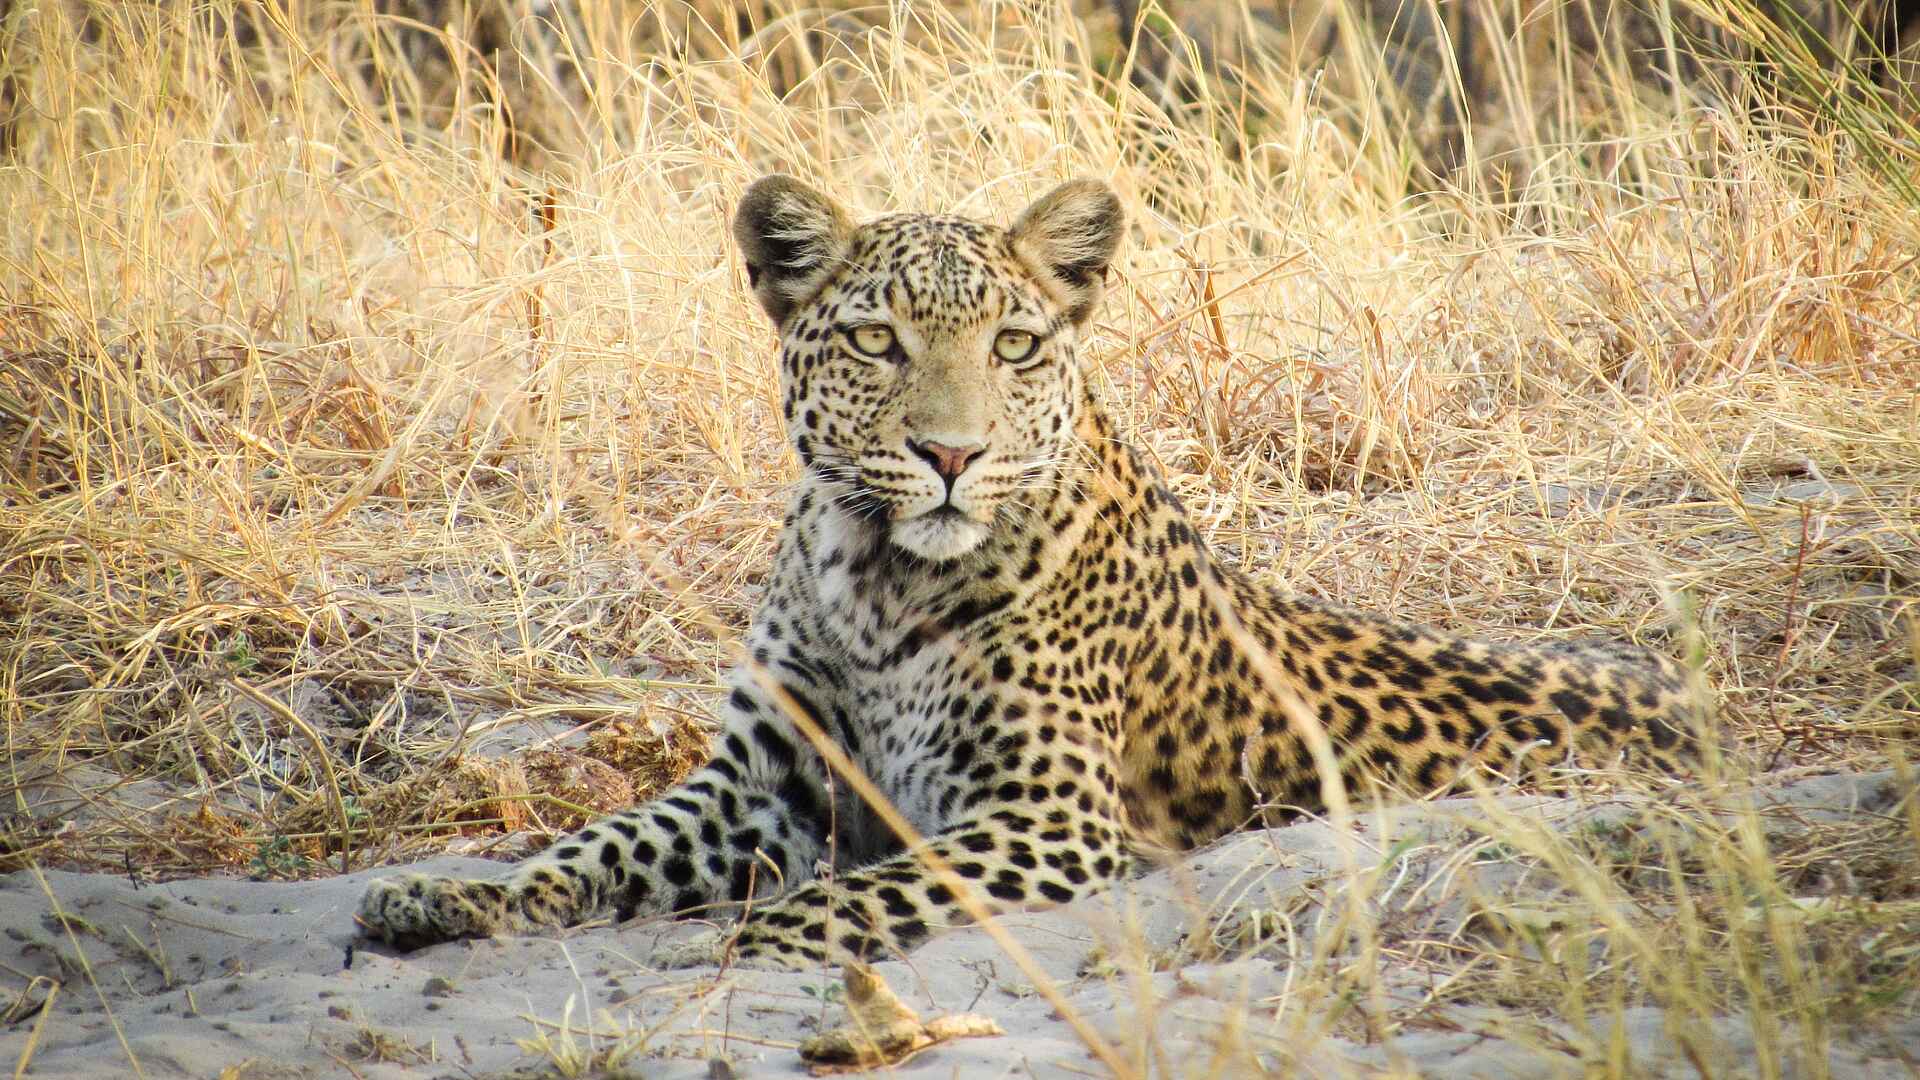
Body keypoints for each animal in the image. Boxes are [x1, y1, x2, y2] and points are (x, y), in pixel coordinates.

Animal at [356, 175, 1703, 969]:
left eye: (1012, 345)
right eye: (875, 340)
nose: (951, 454)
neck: (874, 576)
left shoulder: (1047, 815)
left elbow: (851, 897)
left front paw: (744, 950)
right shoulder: (764, 784)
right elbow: (595, 848)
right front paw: (442, 901)